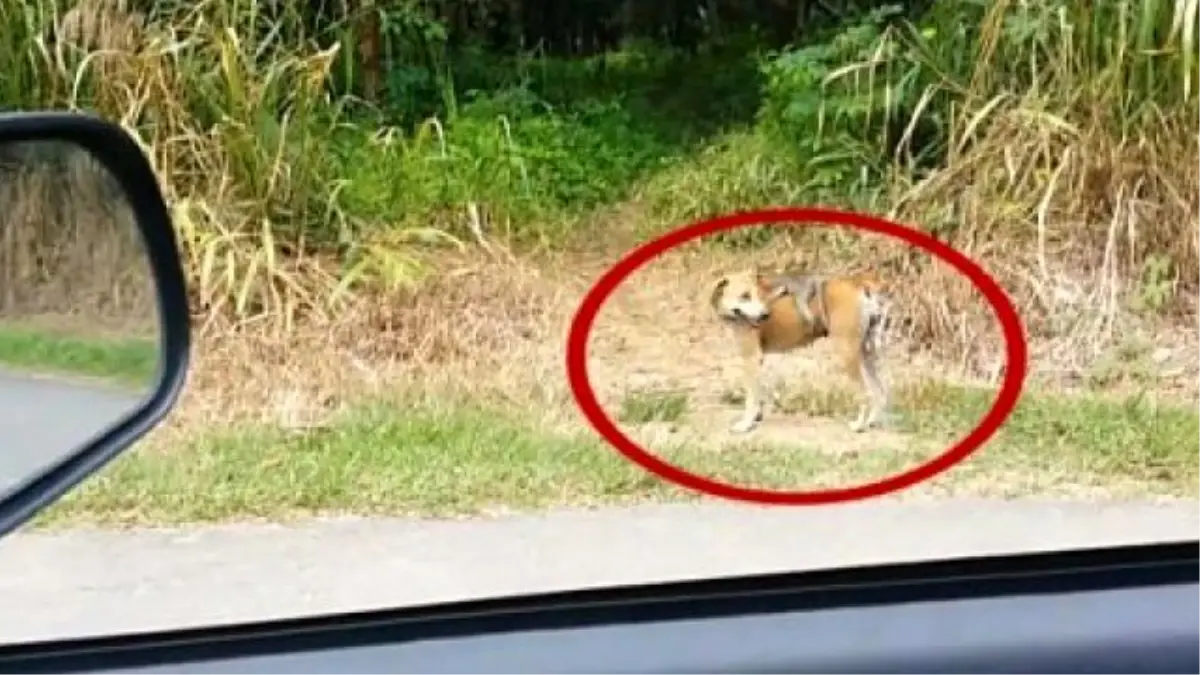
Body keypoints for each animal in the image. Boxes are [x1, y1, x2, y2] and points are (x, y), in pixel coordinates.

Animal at [710, 265, 892, 432]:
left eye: (754, 295)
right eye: (745, 296)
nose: (765, 315)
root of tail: (859, 284)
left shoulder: (751, 357)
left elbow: (751, 396)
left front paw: (746, 424)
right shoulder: (757, 360)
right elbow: (759, 392)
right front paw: (756, 417)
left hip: (847, 354)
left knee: (866, 393)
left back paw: (859, 425)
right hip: (866, 354)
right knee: (880, 391)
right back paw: (871, 422)